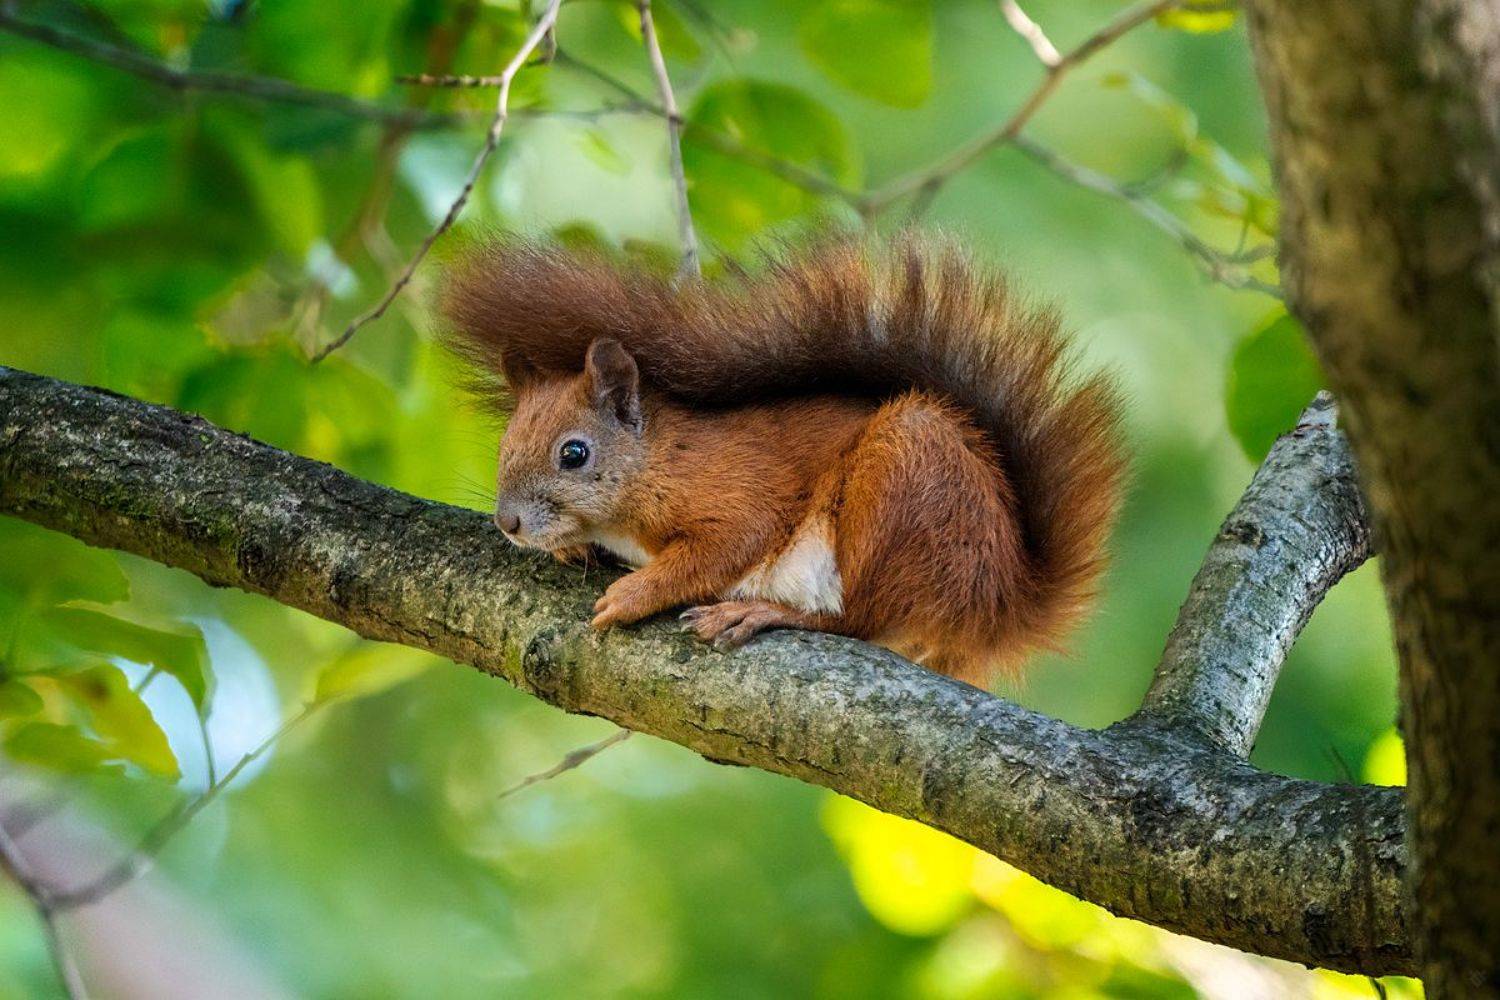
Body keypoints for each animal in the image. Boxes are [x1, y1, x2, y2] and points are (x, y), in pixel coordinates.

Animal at [442, 235, 1125, 685]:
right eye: (504, 444)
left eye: (574, 454)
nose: (508, 523)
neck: (656, 460)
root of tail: (1001, 599)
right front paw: (570, 549)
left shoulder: (734, 493)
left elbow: (719, 549)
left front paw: (632, 593)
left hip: (899, 491)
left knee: (859, 620)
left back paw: (762, 611)